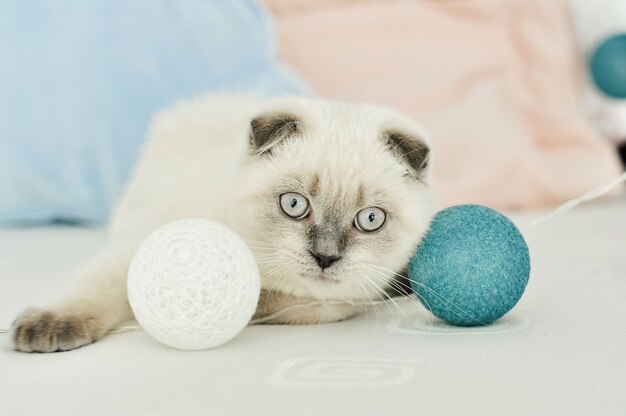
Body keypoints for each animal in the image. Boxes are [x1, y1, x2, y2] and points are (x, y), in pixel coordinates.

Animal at [11, 96, 434, 352]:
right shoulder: (138, 249)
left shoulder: (350, 297)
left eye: (370, 219)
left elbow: (303, 304)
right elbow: (96, 290)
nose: (325, 257)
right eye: (294, 205)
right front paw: (48, 327)